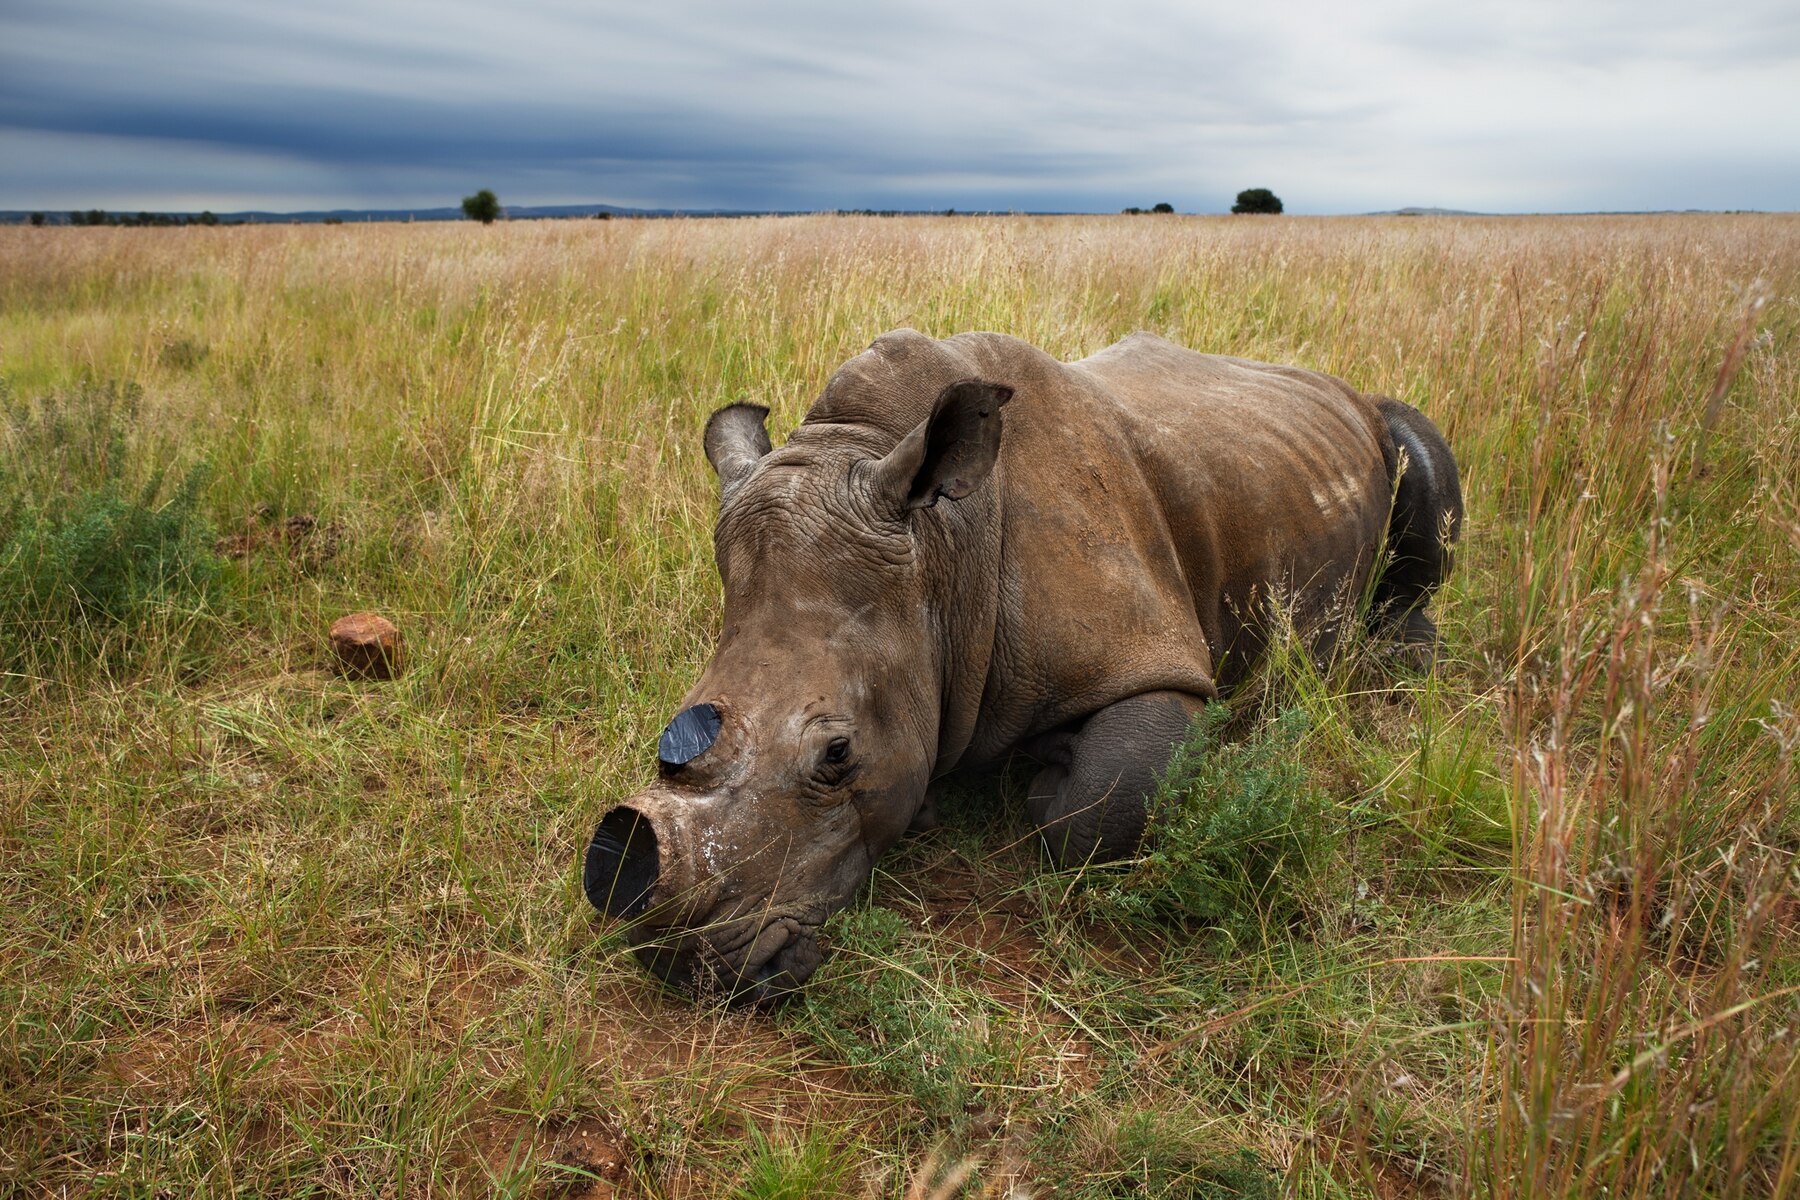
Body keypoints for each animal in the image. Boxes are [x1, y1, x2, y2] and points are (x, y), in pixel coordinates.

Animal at [584, 329, 1461, 1003]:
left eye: (837, 756)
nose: (674, 956)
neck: (943, 559)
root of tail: (1327, 378)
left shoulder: (1155, 664)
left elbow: (1102, 802)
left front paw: (1040, 778)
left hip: (1376, 423)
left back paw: (1400, 656)